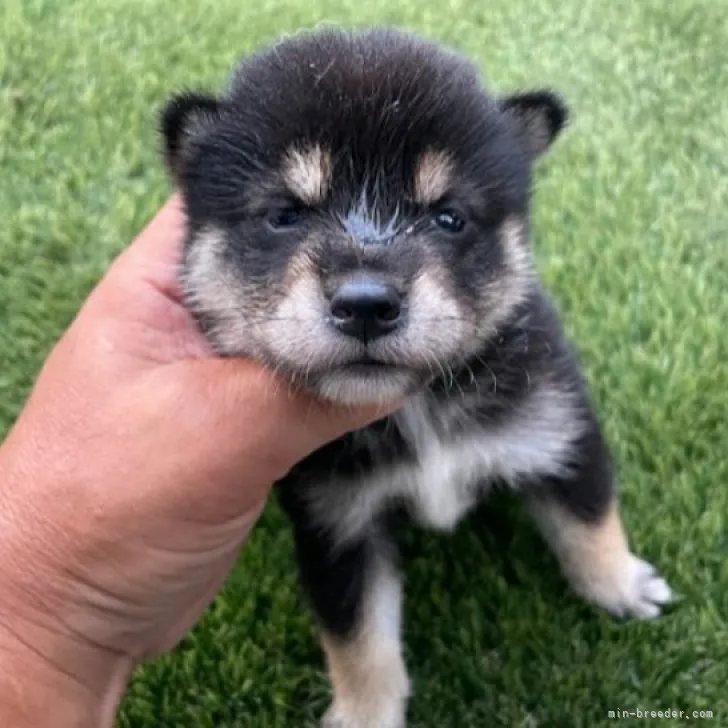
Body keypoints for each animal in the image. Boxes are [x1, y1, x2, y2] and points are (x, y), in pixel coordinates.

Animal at [159, 27, 672, 728]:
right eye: (285, 214)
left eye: (448, 216)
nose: (366, 304)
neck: (418, 407)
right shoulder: (336, 525)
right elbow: (358, 639)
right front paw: (366, 713)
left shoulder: (557, 425)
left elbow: (589, 518)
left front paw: (621, 584)